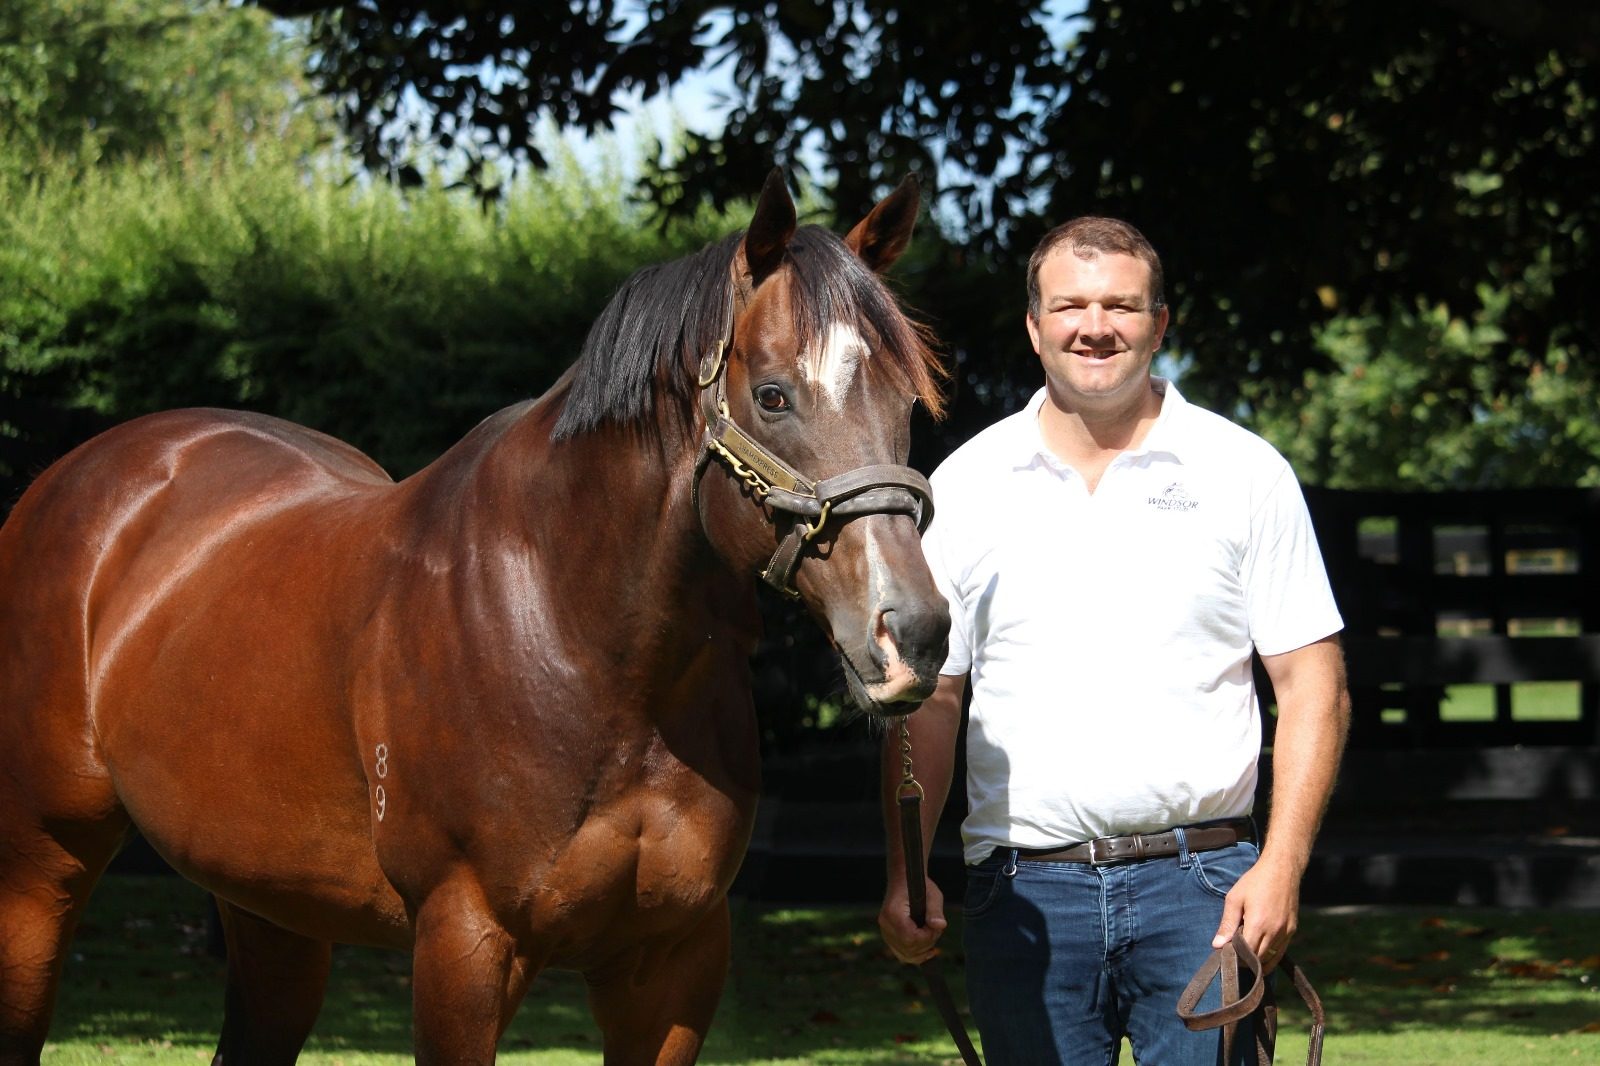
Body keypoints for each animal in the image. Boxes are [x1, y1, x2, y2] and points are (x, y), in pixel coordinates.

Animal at [0, 174, 947, 1062]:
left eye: (907, 405)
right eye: (776, 396)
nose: (913, 633)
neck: (584, 643)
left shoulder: (675, 961)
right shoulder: (464, 941)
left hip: (270, 904)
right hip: (39, 866)